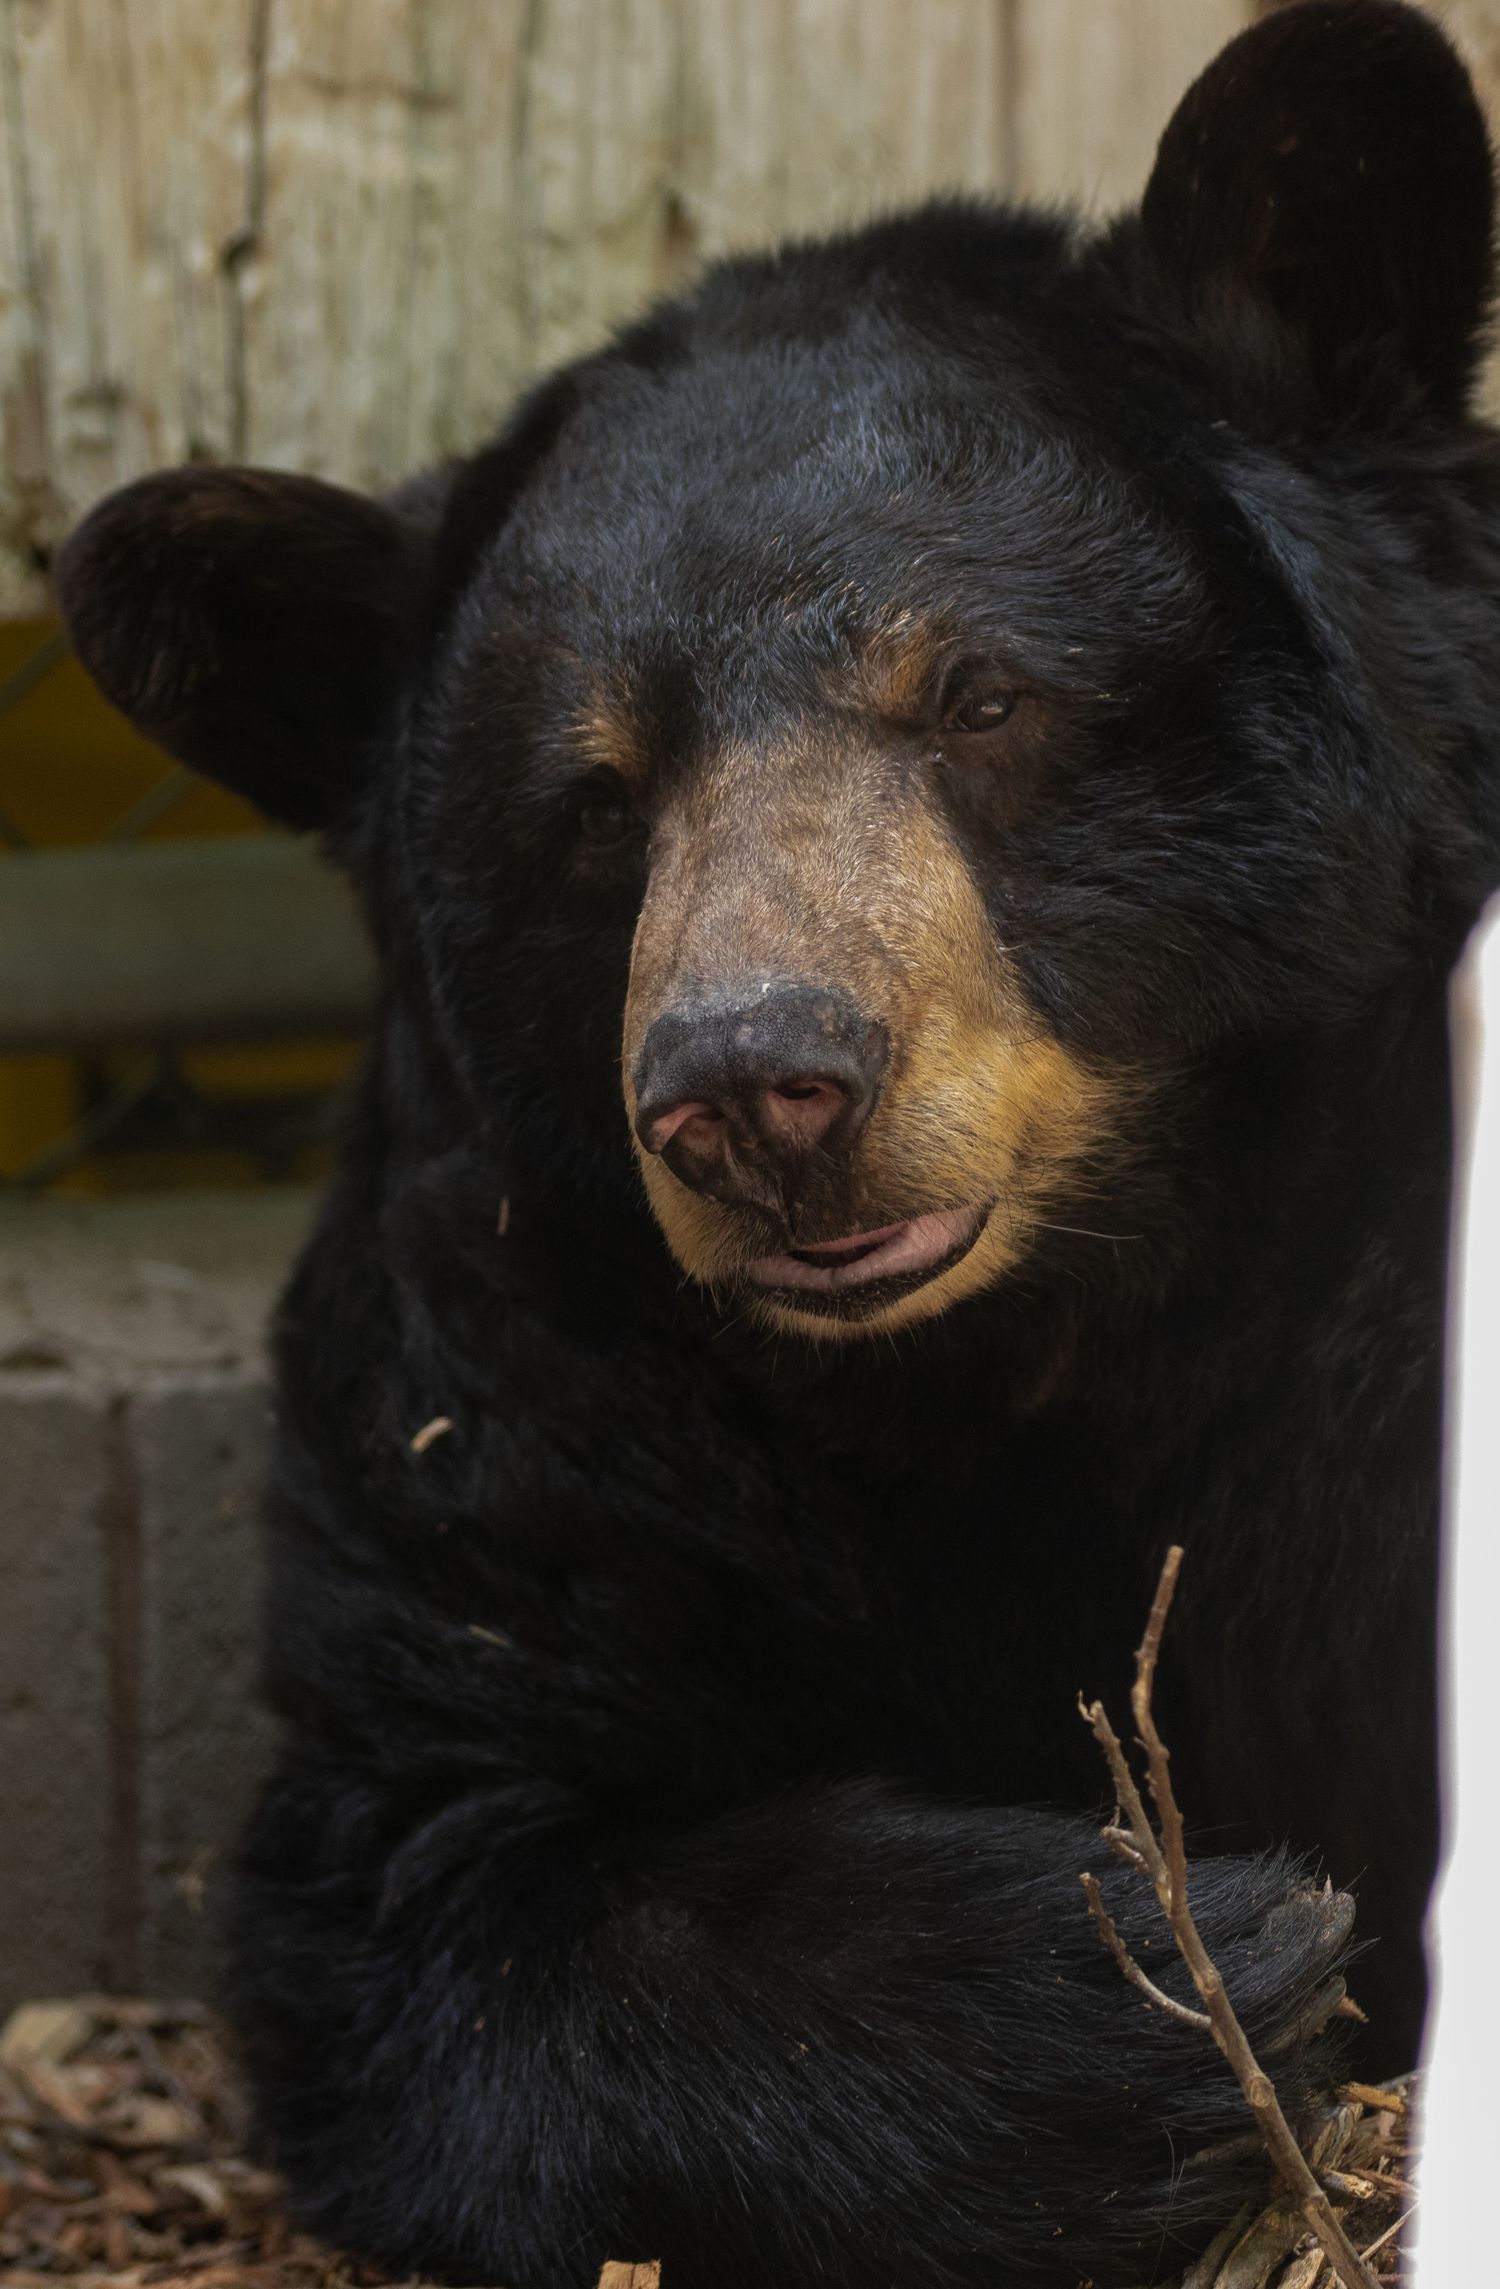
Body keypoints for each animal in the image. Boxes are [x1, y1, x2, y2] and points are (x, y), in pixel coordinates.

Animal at [54, 2, 1500, 2282]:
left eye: (982, 697)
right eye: (593, 800)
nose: (757, 1087)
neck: (1033, 1342)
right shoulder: (521, 1374)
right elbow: (432, 1850)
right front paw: (1184, 1945)